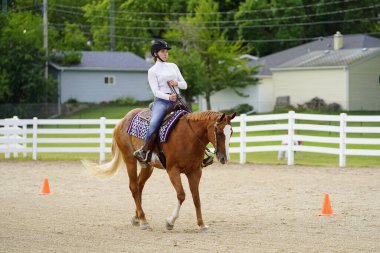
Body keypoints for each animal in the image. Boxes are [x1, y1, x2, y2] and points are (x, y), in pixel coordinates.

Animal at [83, 108, 236, 231]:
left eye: (232, 132)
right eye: (219, 132)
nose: (224, 158)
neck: (189, 137)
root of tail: (122, 120)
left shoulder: (195, 172)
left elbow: (196, 198)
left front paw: (201, 224)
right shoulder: (173, 170)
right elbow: (181, 195)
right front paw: (170, 222)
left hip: (147, 166)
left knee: (139, 186)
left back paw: (137, 217)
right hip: (130, 160)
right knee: (134, 187)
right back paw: (144, 221)